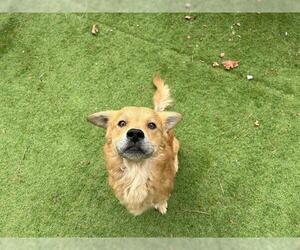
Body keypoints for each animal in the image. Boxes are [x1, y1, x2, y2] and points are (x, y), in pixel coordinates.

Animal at [86, 74, 180, 215]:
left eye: (152, 125)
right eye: (122, 123)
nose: (135, 133)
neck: (137, 171)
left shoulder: (166, 187)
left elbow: (161, 197)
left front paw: (161, 205)